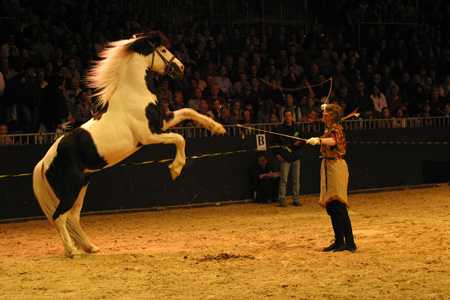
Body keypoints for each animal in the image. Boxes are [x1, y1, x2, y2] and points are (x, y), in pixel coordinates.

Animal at [32, 32, 225, 258]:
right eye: (163, 49)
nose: (181, 67)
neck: (134, 93)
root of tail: (43, 163)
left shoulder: (161, 122)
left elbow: (188, 111)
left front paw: (217, 127)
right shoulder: (149, 135)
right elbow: (180, 139)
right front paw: (175, 169)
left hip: (82, 186)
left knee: (72, 217)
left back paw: (90, 247)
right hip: (72, 187)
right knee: (60, 216)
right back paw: (72, 251)